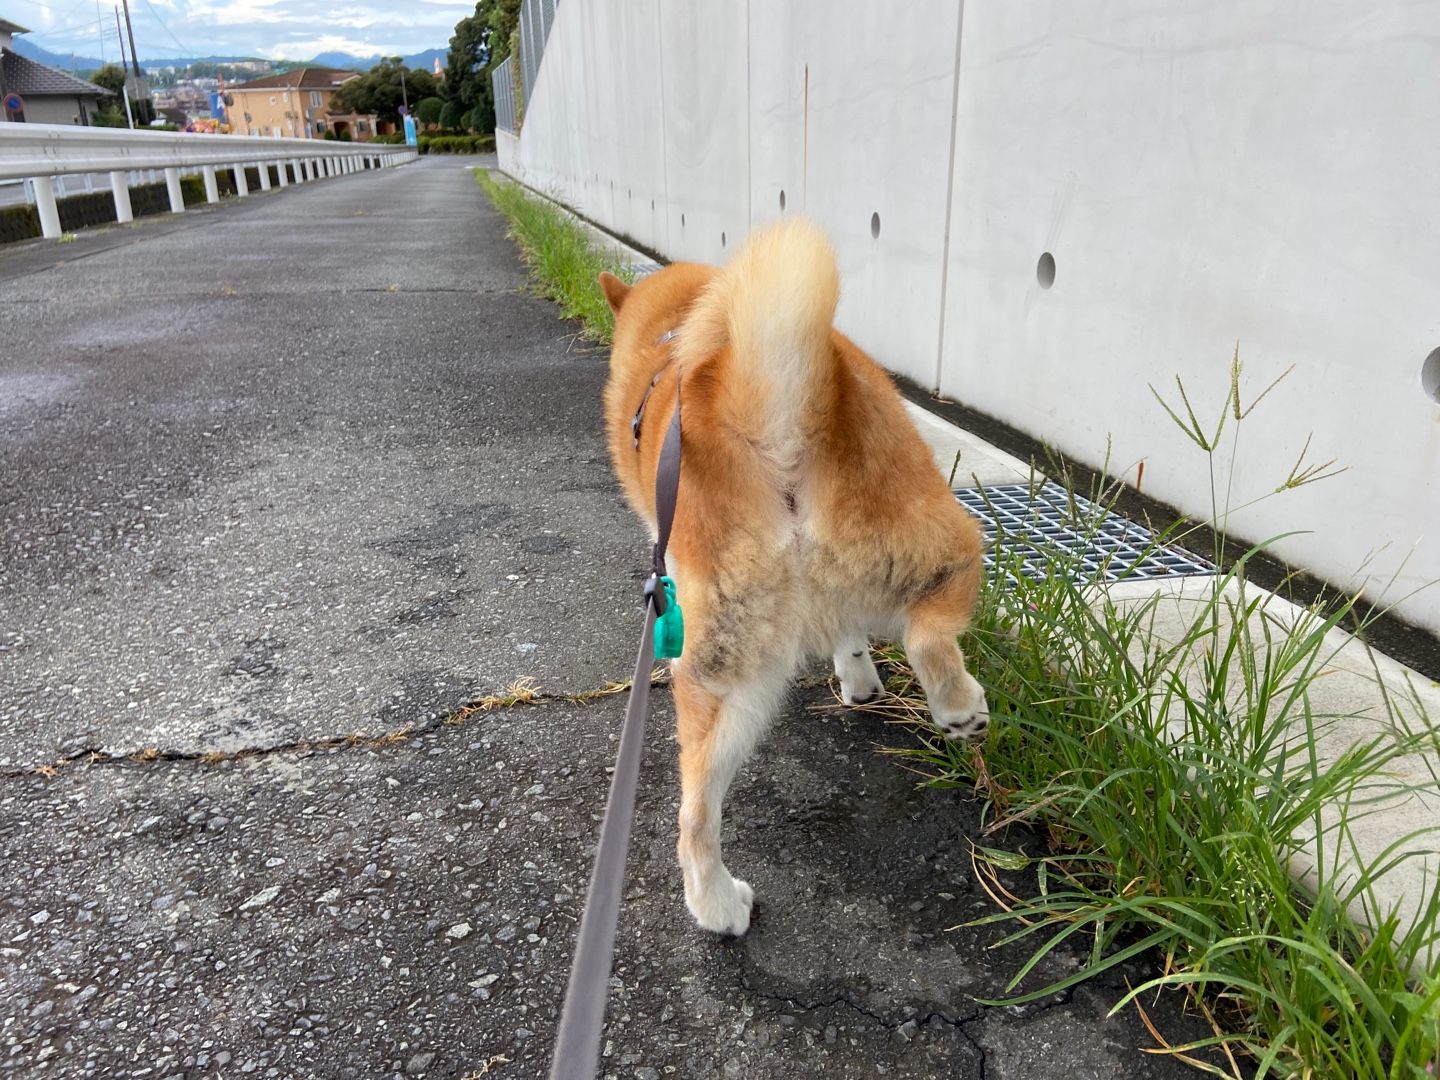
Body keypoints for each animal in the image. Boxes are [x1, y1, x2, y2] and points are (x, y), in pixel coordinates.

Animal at [599, 221, 990, 938]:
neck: (670, 331)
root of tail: (771, 424)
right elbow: (850, 633)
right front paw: (859, 680)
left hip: (721, 667)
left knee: (693, 814)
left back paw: (716, 906)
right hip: (928, 538)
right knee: (929, 628)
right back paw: (956, 706)